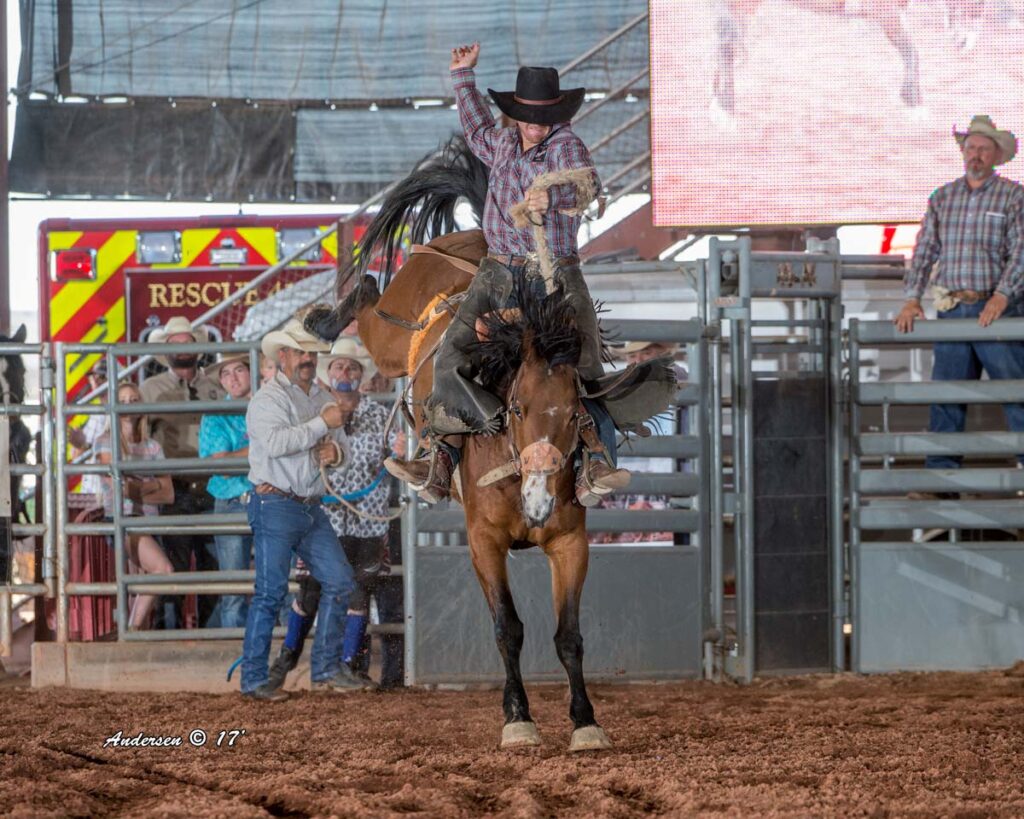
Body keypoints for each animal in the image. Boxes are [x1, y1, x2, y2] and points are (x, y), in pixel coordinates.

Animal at [716, 0, 925, 113]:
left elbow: (912, 54)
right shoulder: (886, 12)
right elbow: (911, 53)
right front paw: (915, 107)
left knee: (724, 49)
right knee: (727, 50)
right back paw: (725, 113)